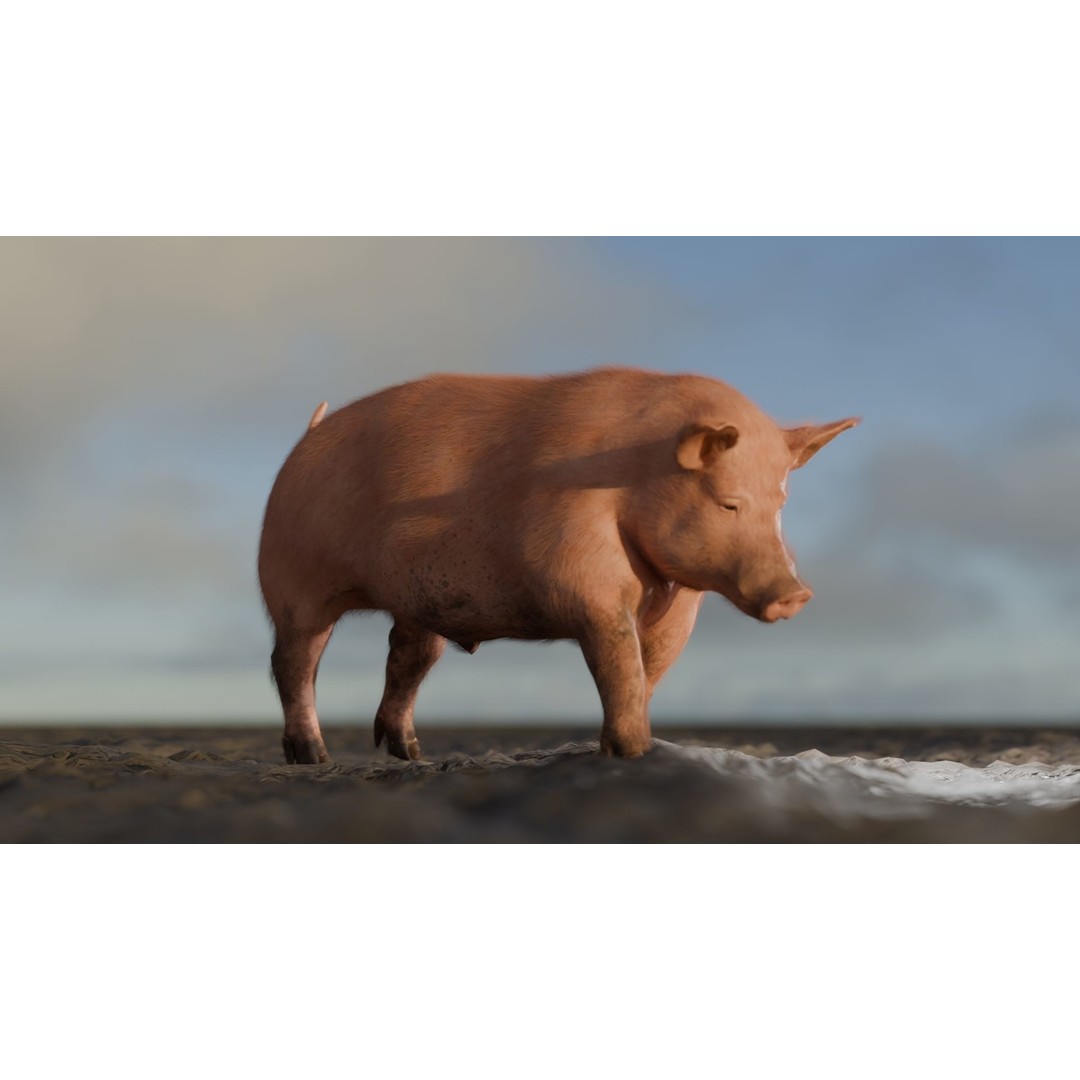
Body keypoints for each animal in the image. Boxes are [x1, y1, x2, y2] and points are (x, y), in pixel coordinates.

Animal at [258, 367, 858, 764]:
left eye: (780, 502)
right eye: (728, 503)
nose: (797, 594)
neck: (637, 475)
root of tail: (307, 438)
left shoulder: (679, 602)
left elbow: (647, 670)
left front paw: (625, 747)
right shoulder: (578, 570)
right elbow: (618, 657)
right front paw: (635, 754)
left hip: (415, 605)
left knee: (407, 657)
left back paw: (409, 754)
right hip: (293, 582)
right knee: (293, 662)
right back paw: (312, 757)